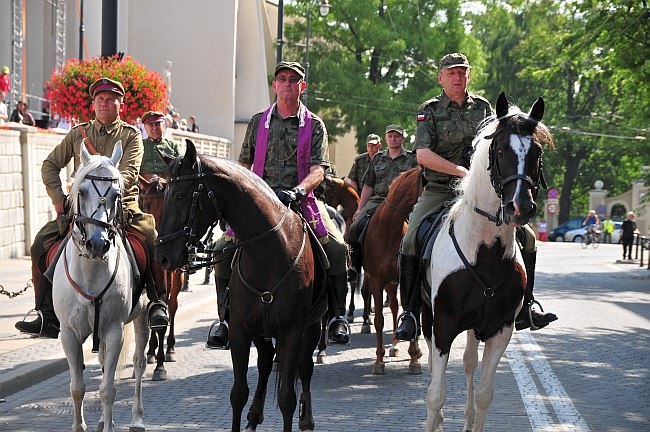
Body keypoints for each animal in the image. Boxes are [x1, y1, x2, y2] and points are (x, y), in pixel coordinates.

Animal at [52, 143, 149, 432]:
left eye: (116, 195)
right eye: (82, 191)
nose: (98, 244)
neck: (91, 272)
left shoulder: (114, 330)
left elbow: (108, 389)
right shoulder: (69, 334)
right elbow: (77, 387)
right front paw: (80, 426)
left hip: (142, 316)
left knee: (139, 363)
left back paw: (136, 418)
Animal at [154, 140, 326, 430]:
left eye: (180, 196)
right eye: (164, 195)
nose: (162, 256)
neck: (269, 252)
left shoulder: (293, 330)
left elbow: (287, 398)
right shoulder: (240, 330)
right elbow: (238, 393)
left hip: (311, 327)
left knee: (305, 367)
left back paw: (307, 418)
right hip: (262, 332)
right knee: (266, 362)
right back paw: (255, 416)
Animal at [362, 166, 422, 374]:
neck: (389, 229)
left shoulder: (406, 279)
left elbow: (411, 312)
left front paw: (414, 359)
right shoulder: (376, 280)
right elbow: (379, 320)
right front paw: (379, 361)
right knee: (394, 307)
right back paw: (395, 344)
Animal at [420, 93, 552, 430]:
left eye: (537, 152)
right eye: (502, 149)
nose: (521, 207)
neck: (485, 252)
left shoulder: (500, 330)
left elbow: (483, 395)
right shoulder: (443, 326)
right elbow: (435, 395)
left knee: (469, 363)